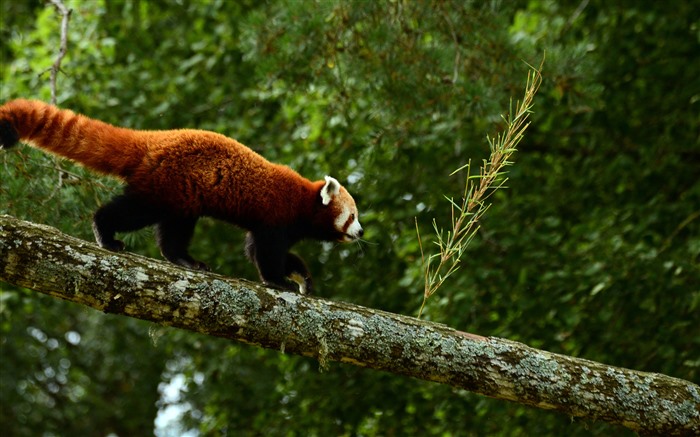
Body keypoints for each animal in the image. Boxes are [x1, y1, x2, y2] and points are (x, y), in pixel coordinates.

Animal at [0, 99, 360, 292]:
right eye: (353, 216)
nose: (360, 232)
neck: (304, 201)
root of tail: (153, 140)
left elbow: (265, 251)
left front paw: (301, 276)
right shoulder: (275, 215)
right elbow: (266, 253)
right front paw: (278, 280)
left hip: (183, 197)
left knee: (172, 232)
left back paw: (185, 259)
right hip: (166, 186)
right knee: (132, 212)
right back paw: (106, 233)